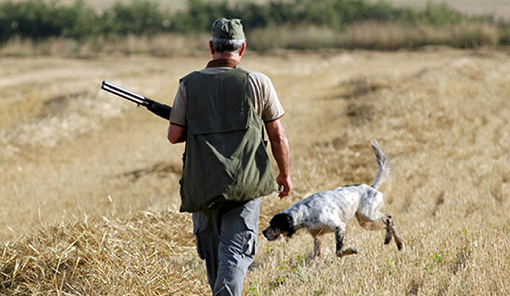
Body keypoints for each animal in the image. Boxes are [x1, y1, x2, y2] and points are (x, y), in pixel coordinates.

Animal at [262, 141, 402, 256]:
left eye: (274, 225)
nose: (263, 232)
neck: (305, 213)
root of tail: (371, 188)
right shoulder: (317, 237)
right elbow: (316, 255)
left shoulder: (339, 226)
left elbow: (338, 251)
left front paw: (350, 251)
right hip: (365, 222)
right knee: (387, 224)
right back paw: (394, 241)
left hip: (368, 215)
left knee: (389, 219)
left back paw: (395, 241)